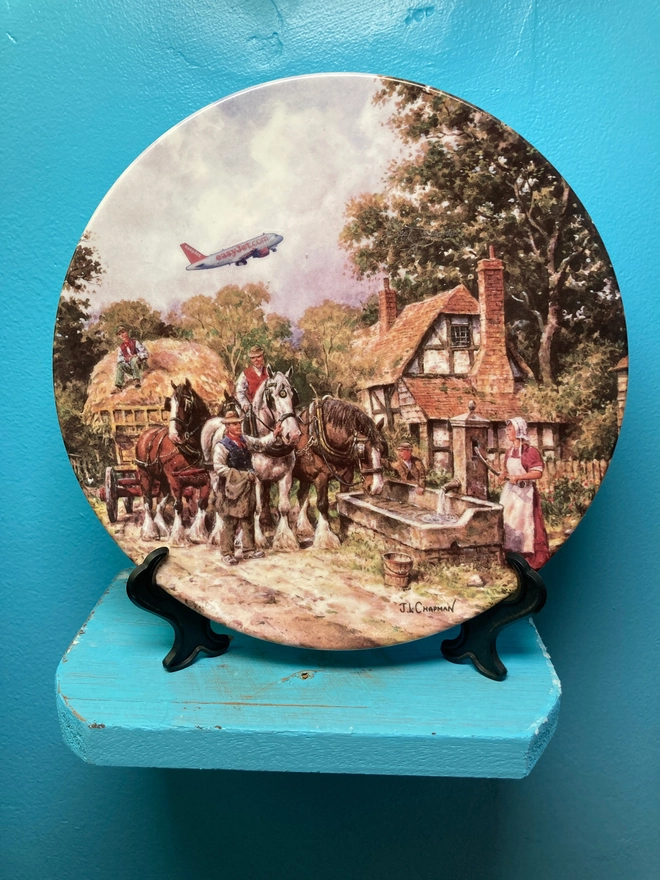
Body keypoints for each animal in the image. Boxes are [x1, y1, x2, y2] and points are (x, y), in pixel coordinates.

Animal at [137, 378, 211, 544]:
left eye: (186, 403)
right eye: (169, 405)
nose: (174, 436)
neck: (193, 450)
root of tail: (147, 433)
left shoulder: (206, 481)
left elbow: (201, 504)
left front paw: (198, 533)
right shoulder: (175, 480)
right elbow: (178, 506)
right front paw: (179, 536)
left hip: (163, 480)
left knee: (160, 504)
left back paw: (163, 529)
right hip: (145, 475)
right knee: (147, 501)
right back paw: (150, 532)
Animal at [202, 368, 302, 552]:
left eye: (293, 395)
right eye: (273, 398)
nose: (293, 435)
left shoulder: (286, 476)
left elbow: (284, 507)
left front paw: (285, 540)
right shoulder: (255, 478)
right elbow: (256, 508)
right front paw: (257, 539)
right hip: (214, 475)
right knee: (218, 501)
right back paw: (218, 535)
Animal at [294, 400, 386, 552]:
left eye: (383, 449)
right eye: (362, 452)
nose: (377, 487)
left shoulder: (346, 476)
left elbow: (342, 501)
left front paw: (343, 532)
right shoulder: (320, 477)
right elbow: (322, 504)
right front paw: (326, 538)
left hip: (305, 475)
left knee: (301, 494)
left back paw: (303, 527)